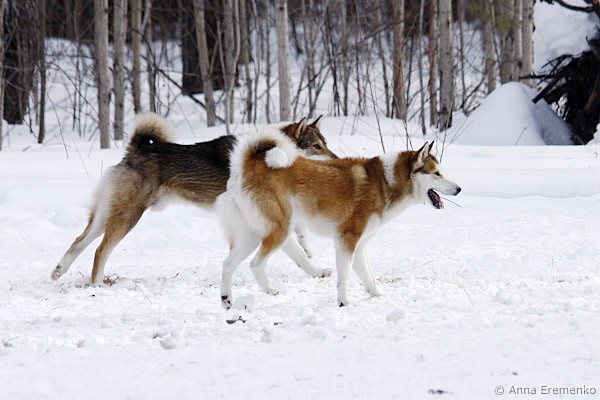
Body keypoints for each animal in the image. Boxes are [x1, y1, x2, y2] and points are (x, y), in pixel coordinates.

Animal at [51, 113, 337, 285]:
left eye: (325, 143)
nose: (336, 160)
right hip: (128, 215)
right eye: (316, 146)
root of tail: (136, 149)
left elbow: (299, 251)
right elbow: (294, 249)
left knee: (79, 242)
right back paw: (97, 284)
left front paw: (316, 271)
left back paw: (59, 271)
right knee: (100, 250)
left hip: (107, 214)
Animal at [216, 130, 461, 307]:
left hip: (252, 235)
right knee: (255, 264)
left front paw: (377, 295)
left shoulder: (359, 247)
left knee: (227, 265)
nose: (459, 189)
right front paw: (344, 302)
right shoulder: (347, 241)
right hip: (279, 231)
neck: (385, 182)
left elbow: (369, 277)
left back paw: (227, 302)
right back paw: (270, 289)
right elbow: (345, 279)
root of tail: (247, 166)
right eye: (437, 173)